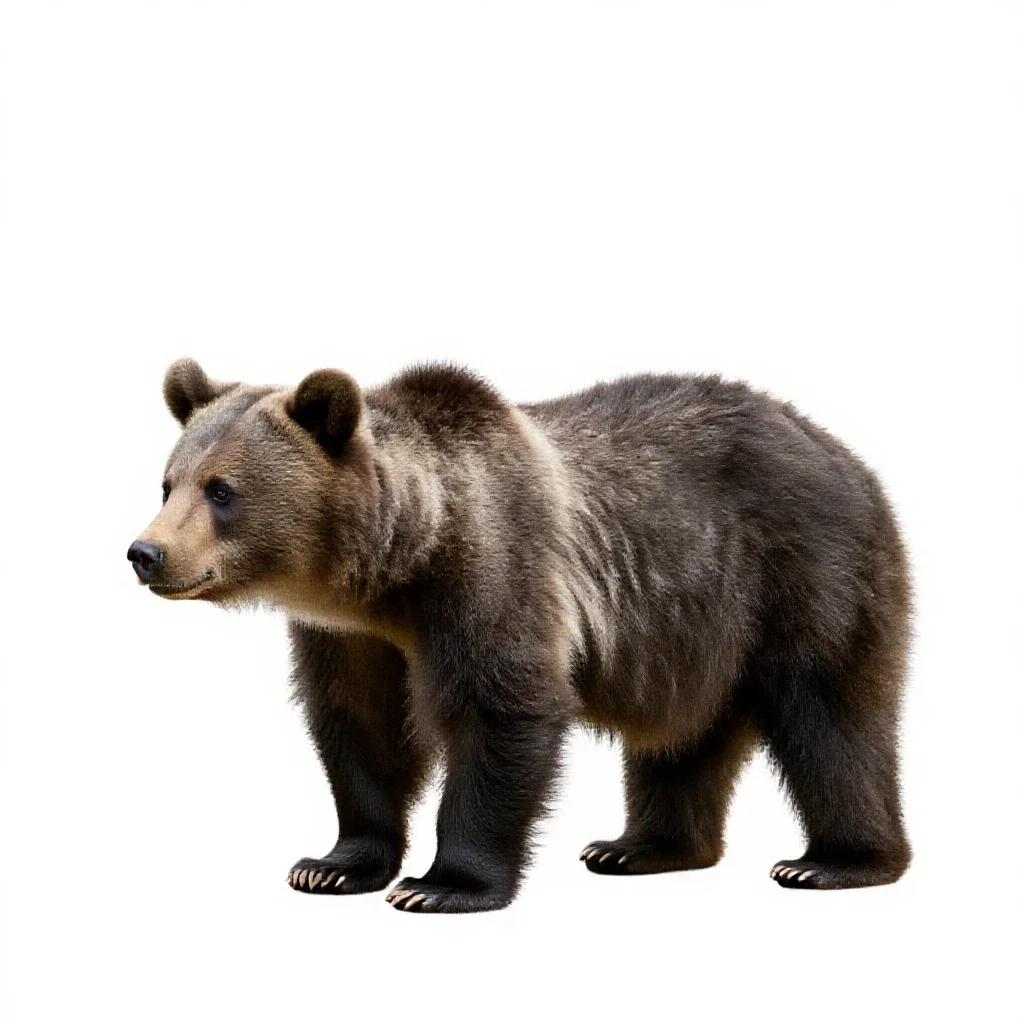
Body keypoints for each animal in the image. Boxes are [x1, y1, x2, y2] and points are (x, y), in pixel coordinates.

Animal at [128, 358, 912, 912]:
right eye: (167, 483)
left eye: (222, 490)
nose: (146, 553)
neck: (397, 570)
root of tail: (846, 452)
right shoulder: (350, 637)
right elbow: (360, 726)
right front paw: (331, 865)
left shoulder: (496, 571)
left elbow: (500, 709)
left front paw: (441, 884)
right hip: (691, 633)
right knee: (681, 738)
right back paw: (639, 848)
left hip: (805, 570)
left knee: (830, 713)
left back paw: (834, 861)